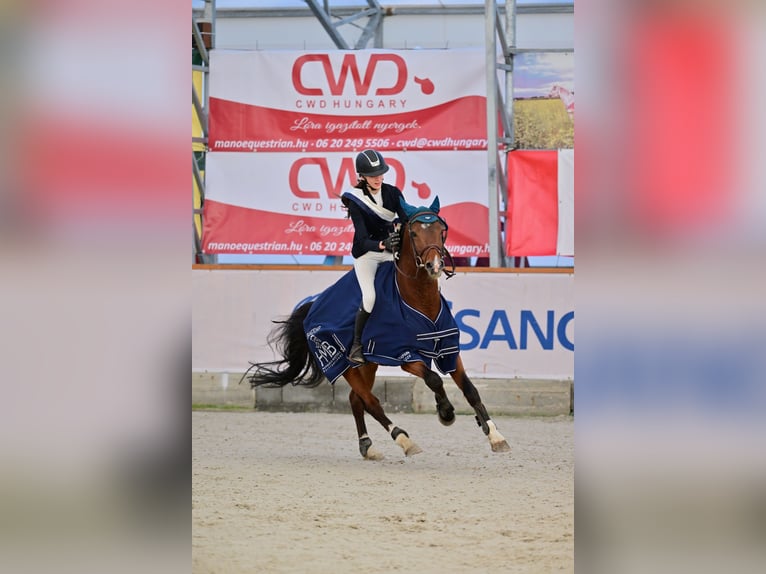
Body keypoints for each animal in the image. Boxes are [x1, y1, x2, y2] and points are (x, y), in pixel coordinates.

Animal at [243, 200, 512, 462]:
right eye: (414, 233)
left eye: (441, 231)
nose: (434, 265)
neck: (420, 300)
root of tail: (313, 306)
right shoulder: (405, 355)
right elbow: (434, 379)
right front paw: (445, 411)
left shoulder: (449, 350)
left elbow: (470, 390)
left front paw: (494, 435)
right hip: (345, 364)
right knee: (370, 402)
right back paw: (403, 439)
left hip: (368, 365)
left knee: (356, 400)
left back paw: (367, 446)